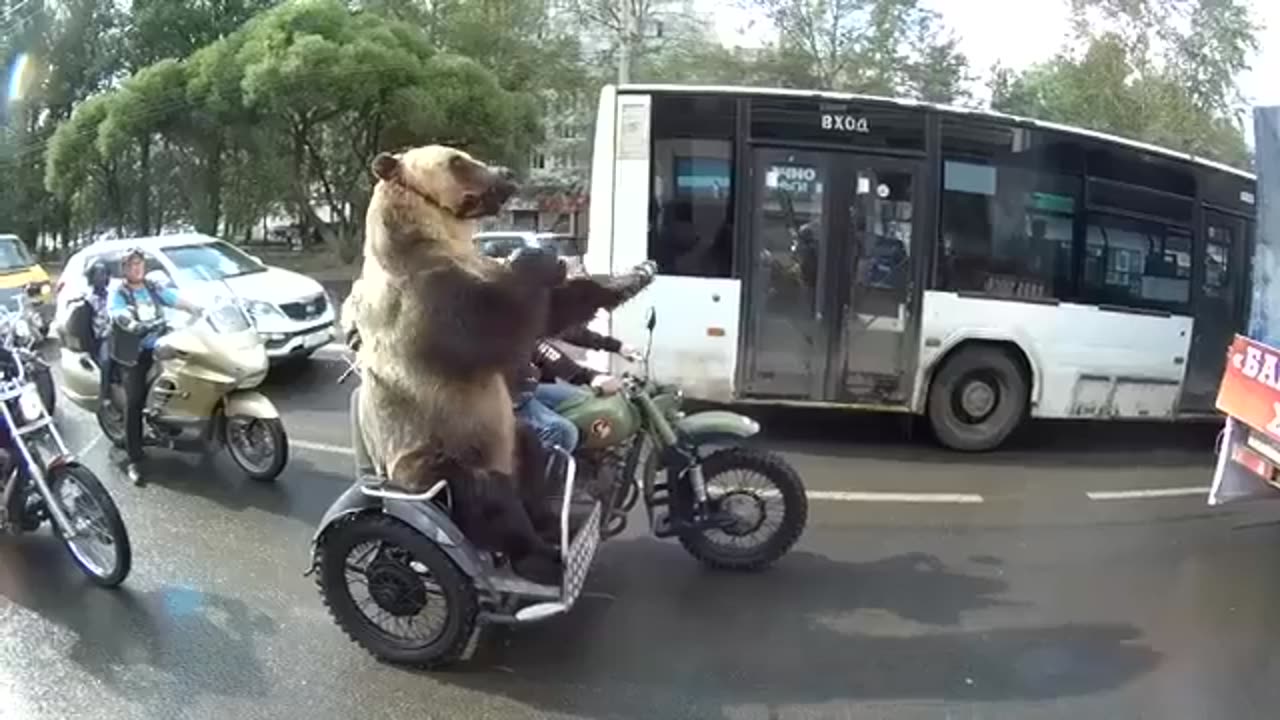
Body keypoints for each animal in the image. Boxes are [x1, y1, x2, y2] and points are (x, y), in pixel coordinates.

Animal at [349, 144, 655, 583]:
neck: (441, 237)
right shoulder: (428, 302)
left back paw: (547, 522)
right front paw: (540, 261)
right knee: (487, 499)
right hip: (435, 456)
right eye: (458, 159)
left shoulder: (470, 267)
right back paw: (541, 555)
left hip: (506, 439)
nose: (507, 173)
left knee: (530, 455)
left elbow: (558, 307)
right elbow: (502, 325)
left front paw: (635, 273)